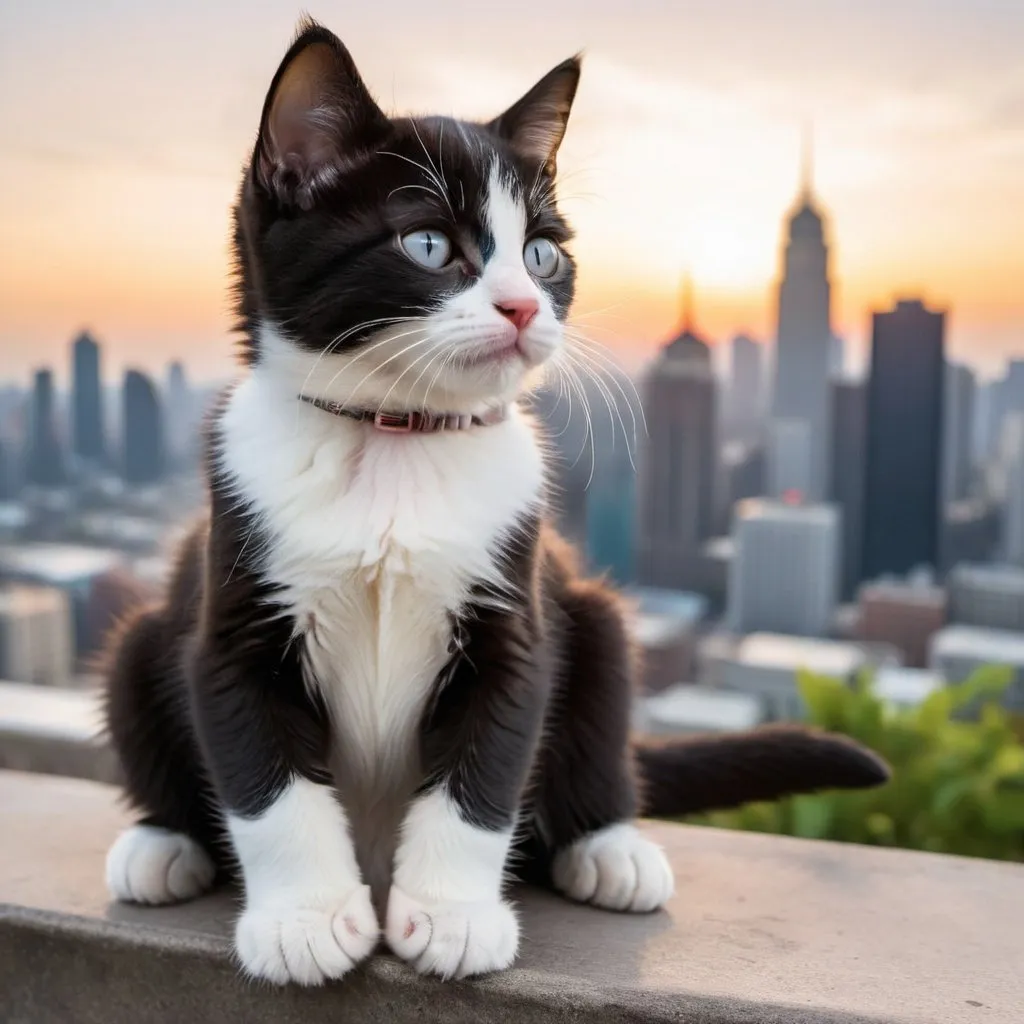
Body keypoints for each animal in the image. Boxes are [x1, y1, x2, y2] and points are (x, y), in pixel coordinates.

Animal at [101, 19, 888, 987]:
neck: (395, 439)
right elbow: (265, 776)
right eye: (429, 245)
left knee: (602, 677)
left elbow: (489, 763)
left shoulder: (515, 607)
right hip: (147, 632)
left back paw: (608, 844)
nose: (521, 307)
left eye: (544, 253)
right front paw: (305, 920)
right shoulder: (234, 605)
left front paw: (452, 917)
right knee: (139, 666)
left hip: (590, 616)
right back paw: (162, 843)